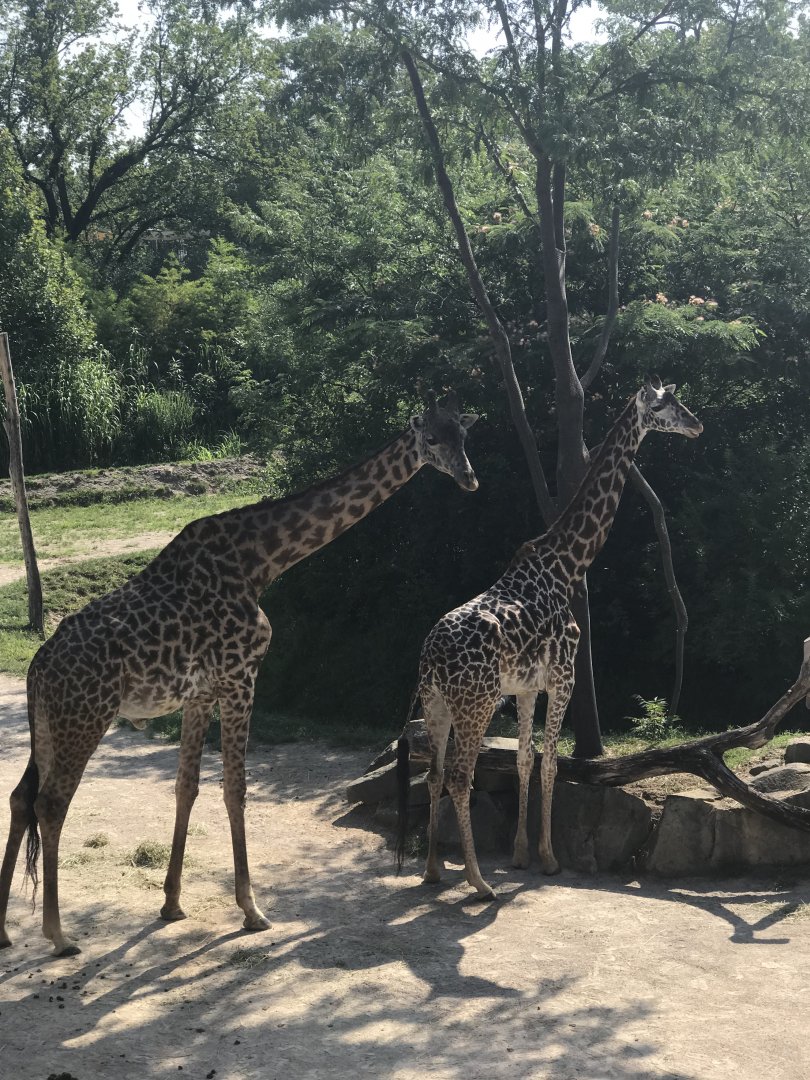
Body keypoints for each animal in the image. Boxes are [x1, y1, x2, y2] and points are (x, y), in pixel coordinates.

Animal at [0, 390, 479, 956]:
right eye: (432, 438)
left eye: (464, 435)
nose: (470, 478)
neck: (262, 561)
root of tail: (37, 669)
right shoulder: (241, 677)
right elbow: (235, 788)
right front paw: (252, 910)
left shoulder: (200, 692)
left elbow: (186, 787)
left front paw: (171, 903)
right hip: (85, 718)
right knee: (51, 804)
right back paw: (58, 934)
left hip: (49, 726)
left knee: (21, 798)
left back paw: (5, 931)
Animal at [396, 377, 702, 898]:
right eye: (666, 406)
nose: (697, 424)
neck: (568, 563)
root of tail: (430, 656)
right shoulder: (563, 678)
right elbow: (553, 763)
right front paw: (550, 859)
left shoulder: (525, 688)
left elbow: (525, 759)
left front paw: (521, 854)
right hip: (475, 702)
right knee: (459, 776)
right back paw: (478, 882)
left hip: (438, 702)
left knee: (435, 774)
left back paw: (435, 869)